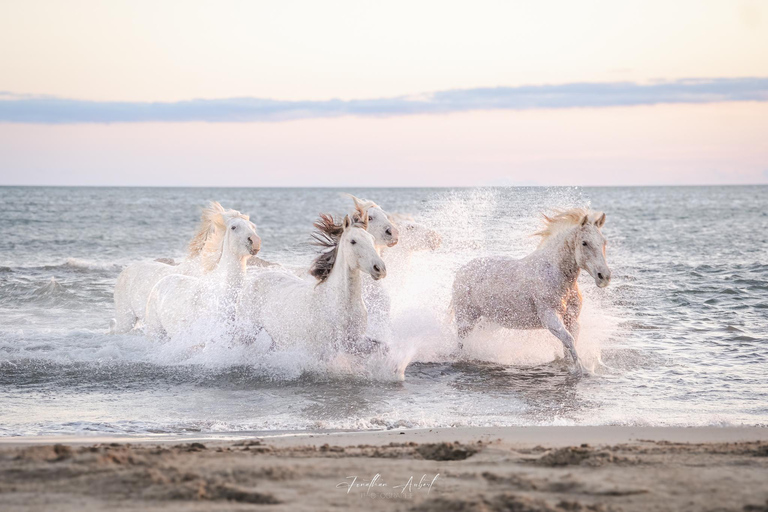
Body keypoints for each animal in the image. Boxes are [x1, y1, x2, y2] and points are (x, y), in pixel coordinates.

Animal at [238, 212, 384, 352]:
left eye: (372, 239)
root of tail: (256, 278)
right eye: (353, 241)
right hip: (248, 332)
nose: (380, 268)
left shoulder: (356, 342)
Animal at [450, 210, 612, 374]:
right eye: (584, 243)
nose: (604, 277)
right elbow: (569, 340)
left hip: (487, 321)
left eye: (604, 242)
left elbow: (569, 346)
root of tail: (461, 272)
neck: (555, 272)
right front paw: (583, 369)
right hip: (466, 319)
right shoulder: (549, 317)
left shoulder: (572, 319)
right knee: (461, 344)